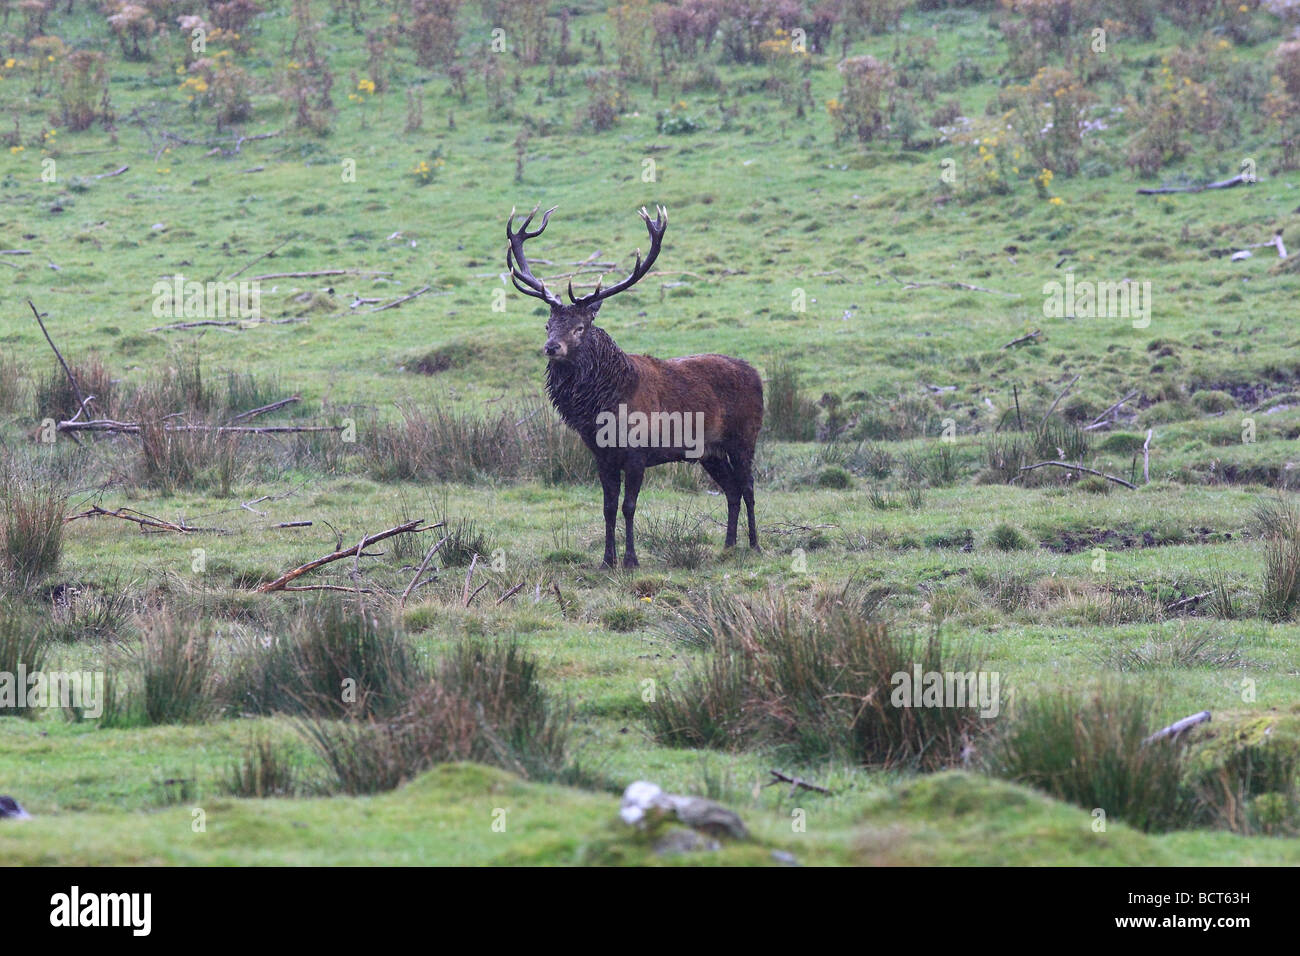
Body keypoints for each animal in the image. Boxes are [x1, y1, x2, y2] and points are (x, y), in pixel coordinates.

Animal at [506, 204, 763, 569]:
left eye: (580, 327)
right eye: (547, 324)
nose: (551, 347)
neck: (605, 406)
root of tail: (756, 374)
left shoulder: (638, 452)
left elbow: (629, 507)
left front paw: (630, 560)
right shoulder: (601, 455)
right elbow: (608, 508)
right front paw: (606, 560)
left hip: (744, 436)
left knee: (749, 486)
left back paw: (754, 545)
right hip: (708, 451)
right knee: (731, 489)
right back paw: (727, 546)